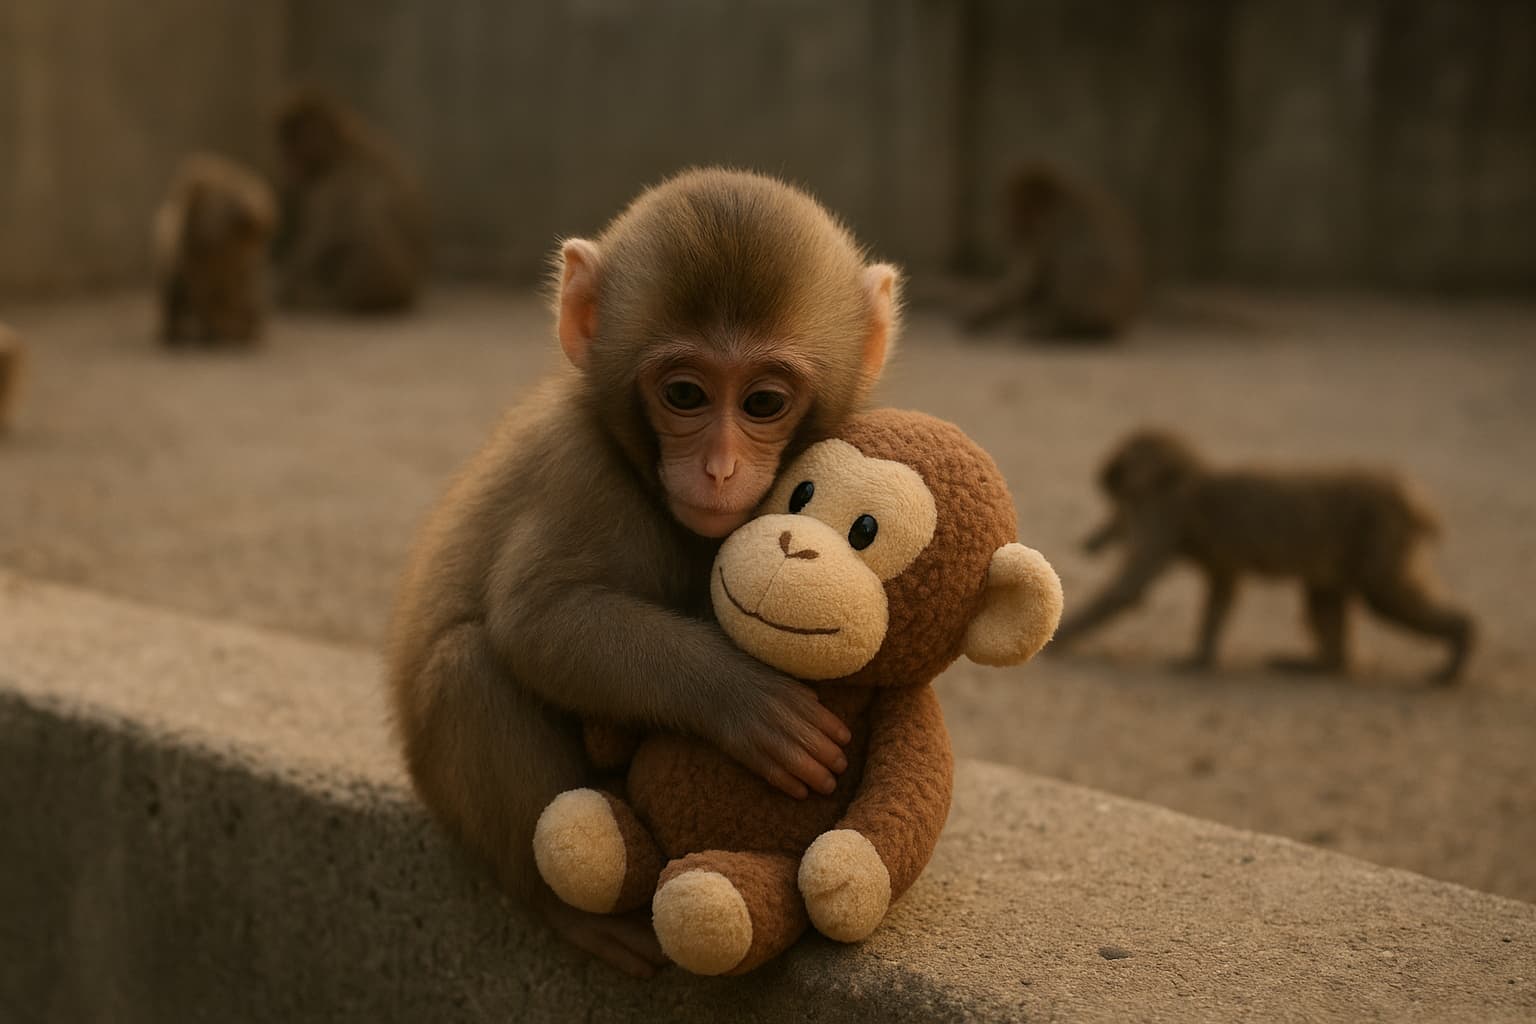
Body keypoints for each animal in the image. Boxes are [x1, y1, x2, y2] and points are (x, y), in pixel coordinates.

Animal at [273, 88, 427, 313]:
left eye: (294, 145)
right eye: (282, 143)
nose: (284, 161)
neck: (343, 147)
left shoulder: (334, 185)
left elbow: (321, 239)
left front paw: (280, 287)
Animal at [385, 168, 900, 977]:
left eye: (763, 401)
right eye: (684, 394)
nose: (718, 468)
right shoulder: (577, 464)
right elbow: (540, 617)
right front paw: (745, 698)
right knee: (467, 666)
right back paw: (574, 905)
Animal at [1052, 428, 1475, 684]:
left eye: (1118, 496)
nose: (1096, 536)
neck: (1179, 476)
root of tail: (1414, 498)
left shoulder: (1164, 513)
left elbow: (1128, 592)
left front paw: (1064, 637)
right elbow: (1222, 591)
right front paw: (1201, 656)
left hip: (1380, 536)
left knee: (1384, 596)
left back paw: (1461, 642)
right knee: (1322, 597)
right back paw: (1323, 664)